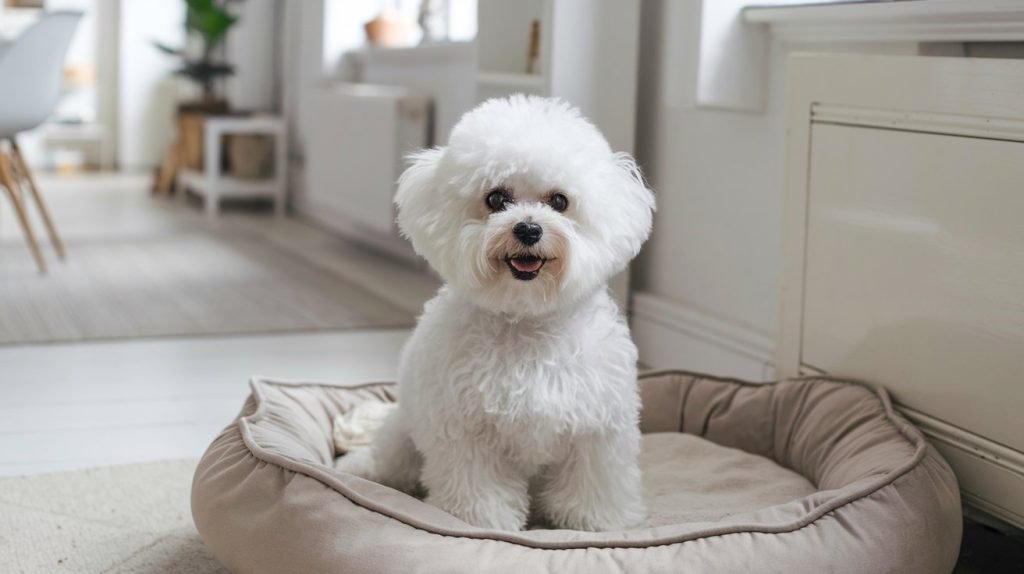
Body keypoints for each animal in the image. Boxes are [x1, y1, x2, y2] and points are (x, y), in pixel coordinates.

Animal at [352, 96, 655, 532]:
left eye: (559, 201)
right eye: (496, 199)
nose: (528, 229)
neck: (525, 319)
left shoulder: (597, 428)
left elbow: (593, 480)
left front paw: (596, 520)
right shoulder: (468, 431)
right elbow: (479, 486)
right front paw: (481, 521)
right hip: (403, 433)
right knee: (390, 459)